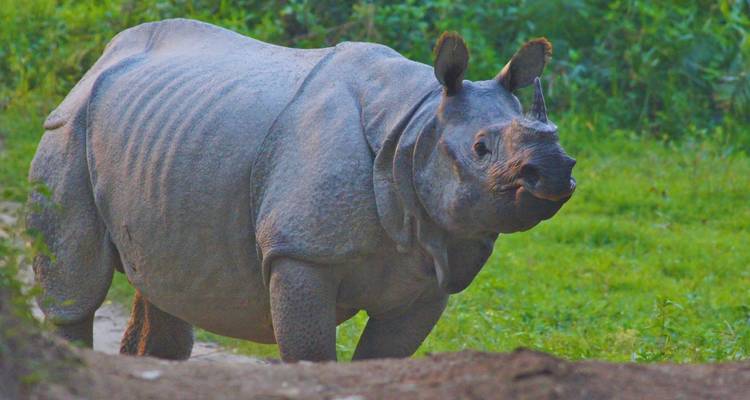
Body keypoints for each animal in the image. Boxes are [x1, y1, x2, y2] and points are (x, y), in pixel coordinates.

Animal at [28, 19, 576, 362]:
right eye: (481, 149)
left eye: (564, 146)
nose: (554, 170)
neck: (417, 126)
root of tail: (99, 61)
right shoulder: (300, 252)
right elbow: (311, 355)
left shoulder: (432, 265)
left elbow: (381, 359)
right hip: (69, 126)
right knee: (74, 294)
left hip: (162, 134)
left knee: (161, 281)